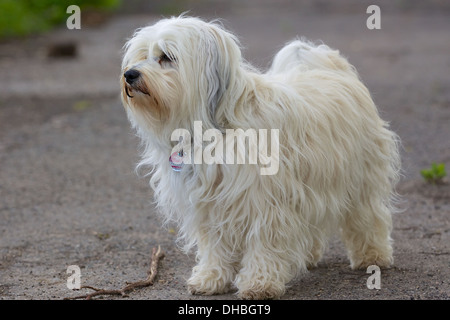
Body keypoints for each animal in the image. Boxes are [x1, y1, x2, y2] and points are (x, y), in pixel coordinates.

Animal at [120, 15, 400, 300]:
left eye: (166, 56)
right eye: (141, 55)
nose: (130, 74)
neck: (217, 127)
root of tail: (332, 68)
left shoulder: (266, 203)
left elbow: (264, 245)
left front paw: (259, 283)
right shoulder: (209, 203)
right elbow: (215, 247)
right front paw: (211, 278)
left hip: (360, 177)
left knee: (368, 216)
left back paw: (372, 256)